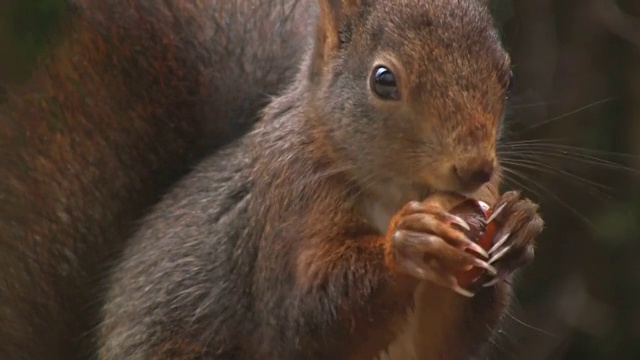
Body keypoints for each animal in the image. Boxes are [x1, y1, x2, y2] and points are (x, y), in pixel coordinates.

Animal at [97, 0, 544, 358]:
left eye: (509, 78)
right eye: (383, 79)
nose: (475, 168)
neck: (397, 193)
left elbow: (446, 339)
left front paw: (519, 223)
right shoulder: (285, 207)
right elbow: (303, 321)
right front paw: (409, 243)